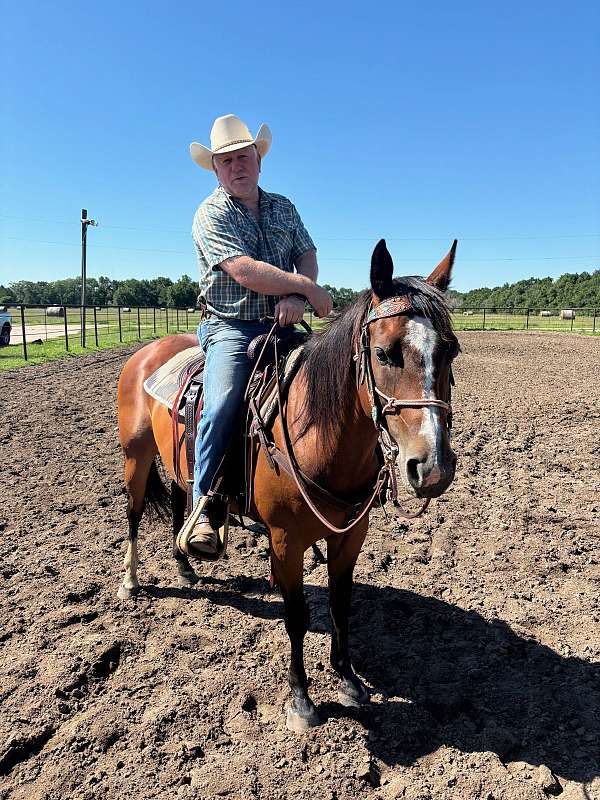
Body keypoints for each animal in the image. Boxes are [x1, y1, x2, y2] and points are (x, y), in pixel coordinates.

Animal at [116, 238, 460, 732]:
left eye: (451, 351)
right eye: (384, 353)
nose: (432, 467)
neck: (314, 432)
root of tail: (147, 352)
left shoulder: (350, 534)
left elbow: (340, 604)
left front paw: (348, 679)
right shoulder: (285, 539)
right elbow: (296, 615)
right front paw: (301, 698)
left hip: (176, 461)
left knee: (184, 501)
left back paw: (186, 561)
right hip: (137, 456)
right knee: (134, 512)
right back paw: (130, 581)